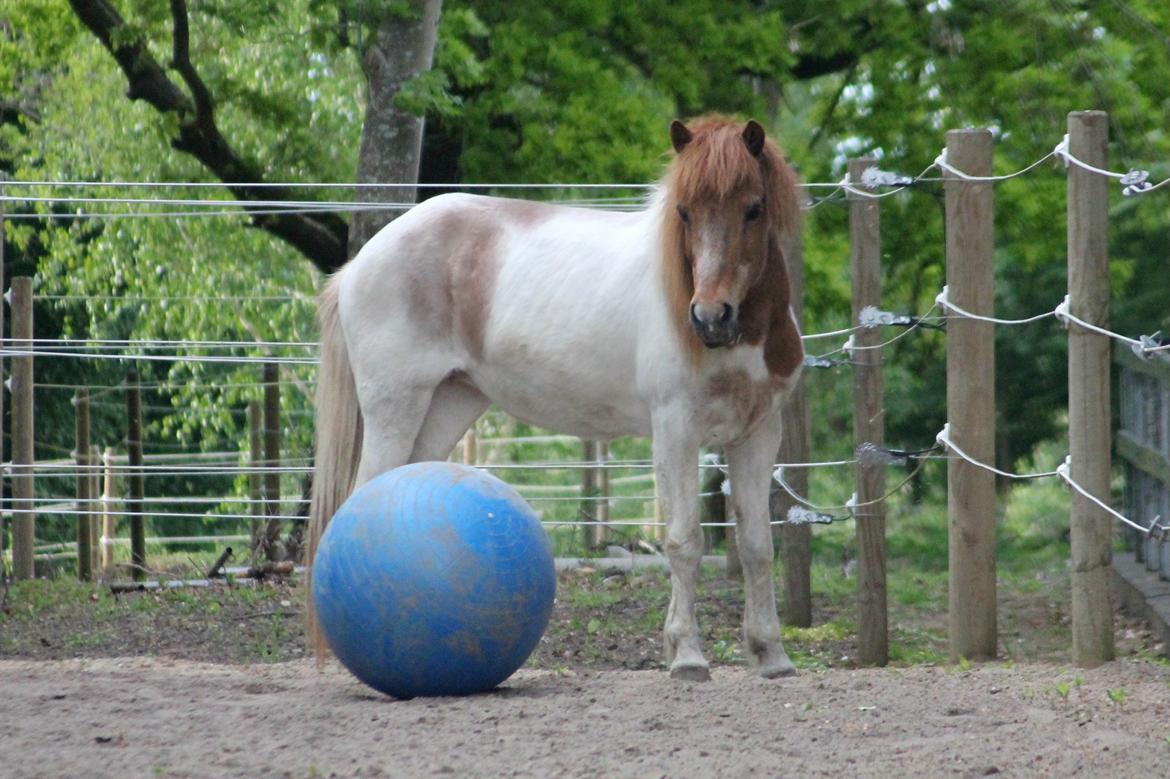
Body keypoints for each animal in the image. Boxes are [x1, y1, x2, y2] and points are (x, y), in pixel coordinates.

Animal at [306, 115, 809, 678]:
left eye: (753, 208)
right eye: (684, 211)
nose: (710, 318)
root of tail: (358, 265)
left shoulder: (758, 433)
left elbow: (757, 546)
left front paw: (771, 655)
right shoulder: (676, 428)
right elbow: (685, 541)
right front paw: (686, 656)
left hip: (447, 405)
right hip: (395, 406)